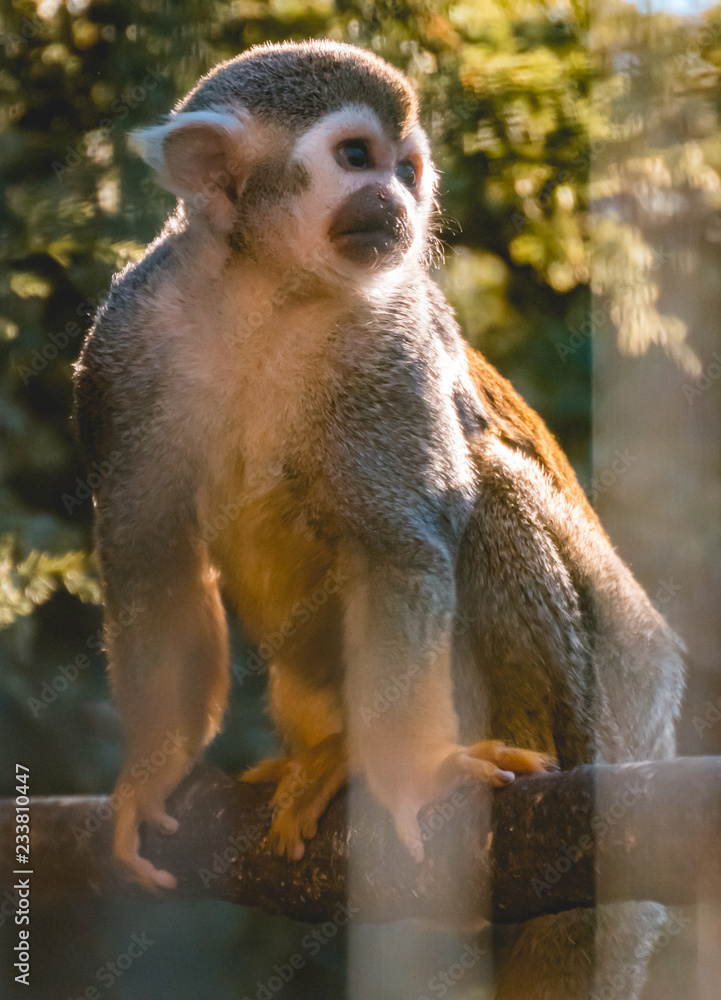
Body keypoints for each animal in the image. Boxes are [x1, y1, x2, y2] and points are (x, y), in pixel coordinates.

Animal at [73, 40, 684, 999]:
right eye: (357, 158)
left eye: (407, 169)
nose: (396, 200)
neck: (265, 291)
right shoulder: (125, 340)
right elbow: (149, 556)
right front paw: (155, 770)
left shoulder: (387, 338)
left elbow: (399, 546)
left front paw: (417, 775)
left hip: (605, 726)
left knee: (483, 496)